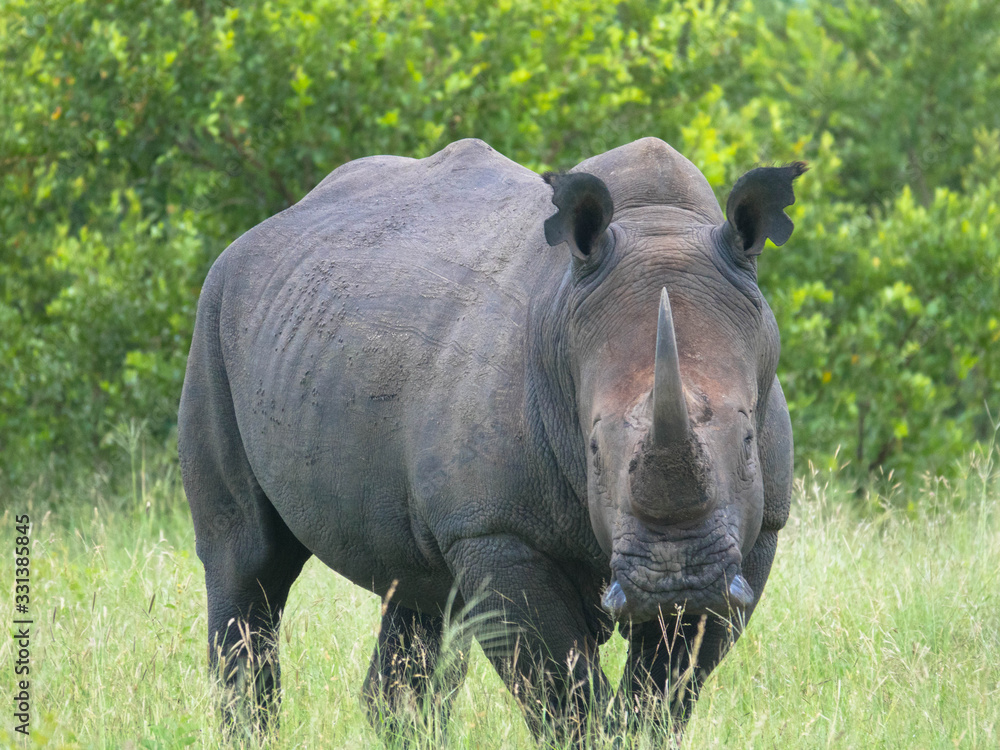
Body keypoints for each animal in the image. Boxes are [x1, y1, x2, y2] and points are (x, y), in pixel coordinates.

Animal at [179, 137, 803, 741]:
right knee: (248, 561)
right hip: (214, 314)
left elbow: (665, 690)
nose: (676, 581)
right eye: (593, 451)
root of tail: (260, 232)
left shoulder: (755, 532)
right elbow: (564, 692)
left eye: (749, 440)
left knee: (421, 592)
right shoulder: (495, 529)